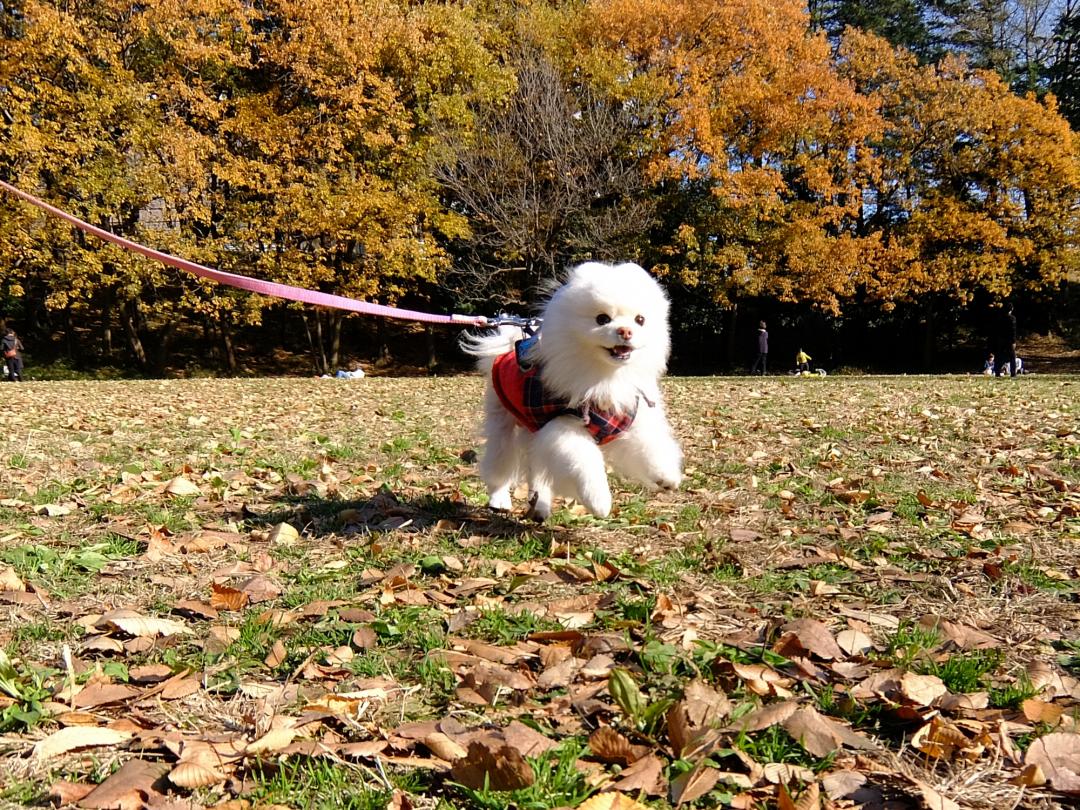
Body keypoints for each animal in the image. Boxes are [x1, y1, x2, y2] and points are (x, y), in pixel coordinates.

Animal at [464, 263, 682, 522]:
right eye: (602, 319)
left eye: (640, 320)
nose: (626, 331)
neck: (605, 376)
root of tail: (509, 346)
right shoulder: (563, 425)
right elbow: (586, 461)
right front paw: (599, 501)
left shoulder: (629, 417)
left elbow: (650, 444)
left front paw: (666, 475)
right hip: (503, 428)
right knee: (499, 465)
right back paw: (500, 499)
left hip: (532, 434)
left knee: (537, 470)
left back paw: (540, 505)